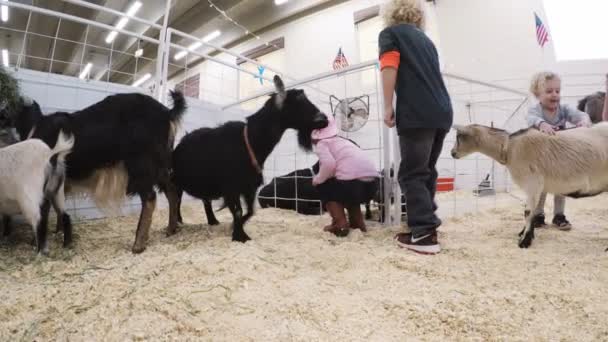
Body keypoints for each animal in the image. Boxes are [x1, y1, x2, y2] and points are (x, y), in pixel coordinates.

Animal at [0, 90, 185, 251]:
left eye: (9, 106)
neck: (36, 125)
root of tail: (168, 113)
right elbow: (58, 207)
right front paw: (58, 232)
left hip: (142, 164)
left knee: (150, 198)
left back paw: (138, 244)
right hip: (160, 165)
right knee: (171, 190)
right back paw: (171, 229)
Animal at [167, 76, 328, 242]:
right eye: (298, 101)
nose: (324, 119)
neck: (250, 140)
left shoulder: (249, 187)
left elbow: (250, 211)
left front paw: (235, 227)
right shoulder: (231, 186)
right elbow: (238, 211)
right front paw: (240, 236)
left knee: (206, 200)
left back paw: (213, 221)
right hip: (176, 180)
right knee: (177, 200)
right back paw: (179, 220)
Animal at [448, 123, 608, 248]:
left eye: (459, 136)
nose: (452, 153)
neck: (509, 148)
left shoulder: (532, 183)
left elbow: (527, 211)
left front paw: (524, 241)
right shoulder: (536, 187)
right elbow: (533, 211)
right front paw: (525, 234)